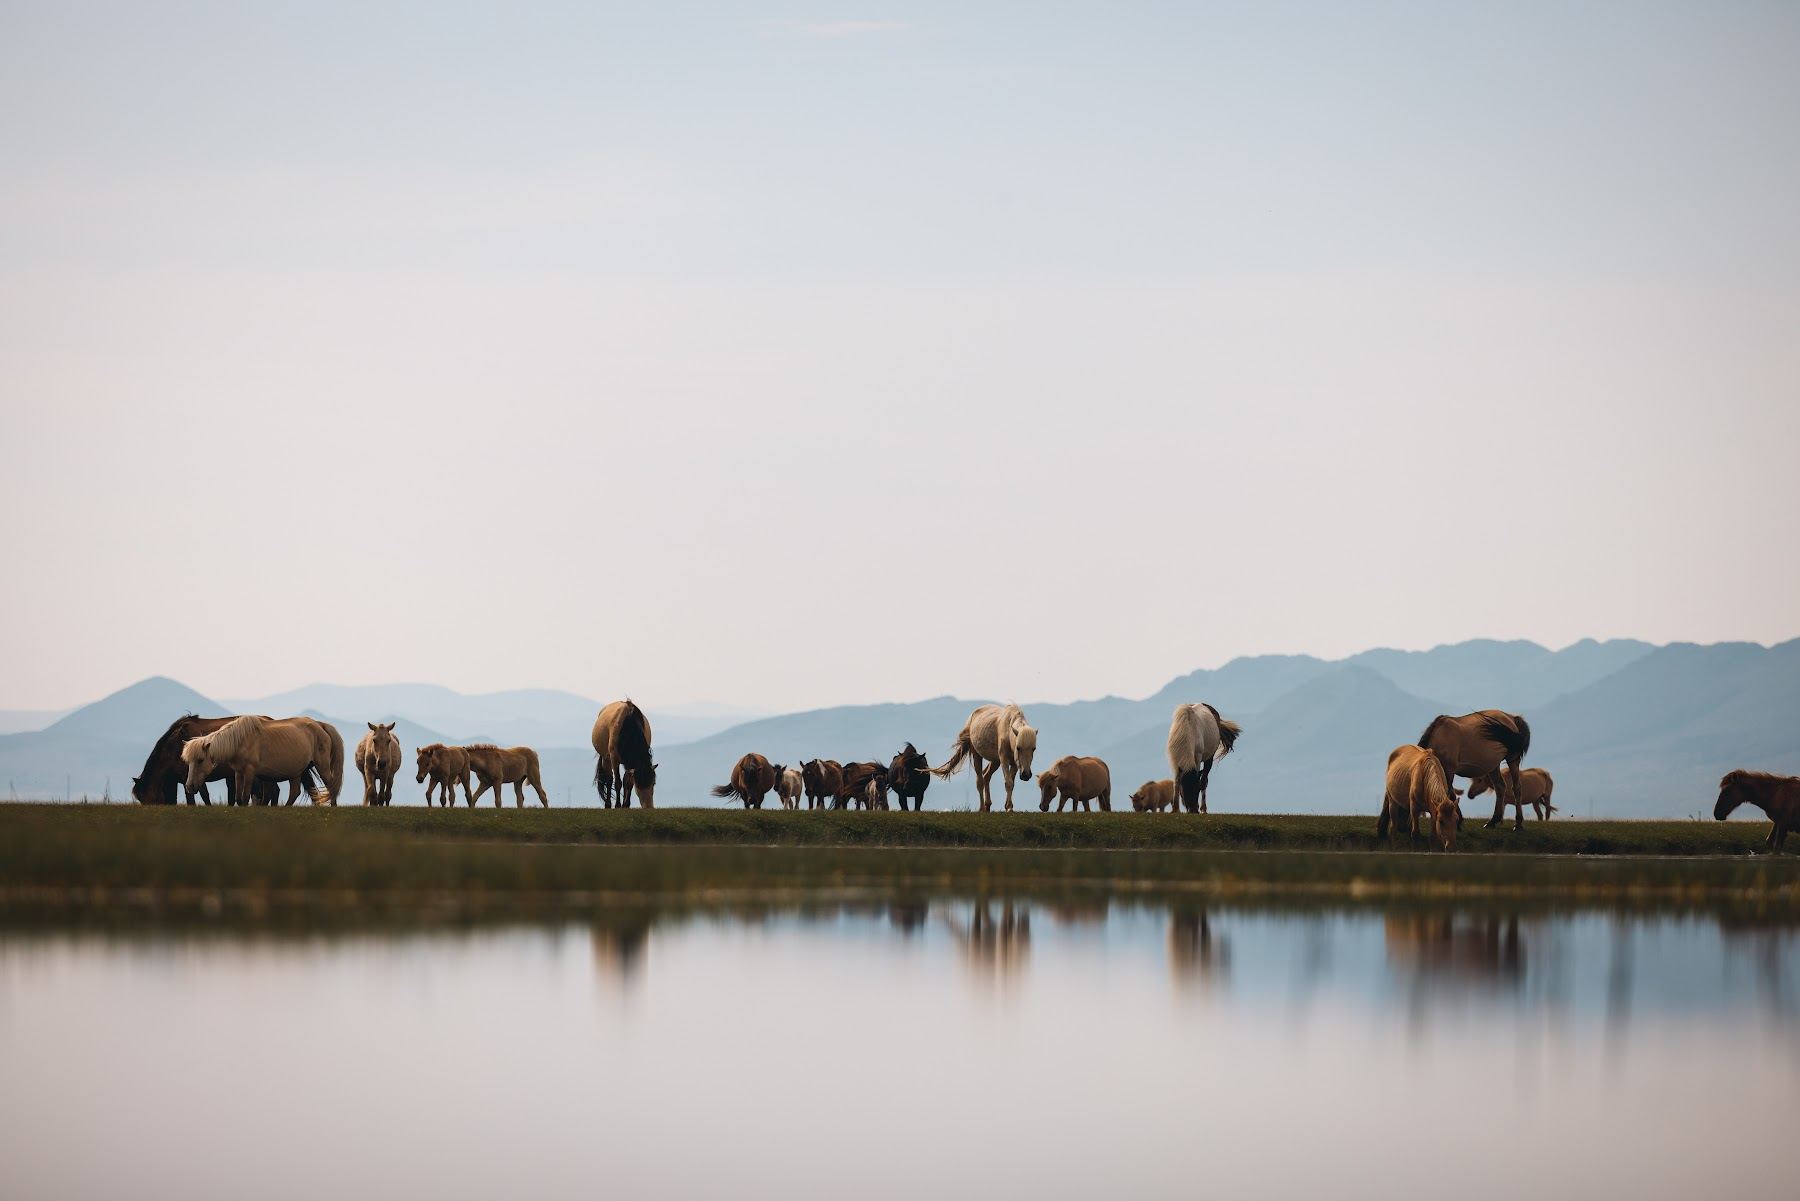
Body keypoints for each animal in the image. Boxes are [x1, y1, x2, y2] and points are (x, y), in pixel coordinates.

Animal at [182, 715, 343, 807]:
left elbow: (245, 796)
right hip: (297, 771)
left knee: (331, 785)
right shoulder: (238, 773)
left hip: (322, 766)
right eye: (188, 762)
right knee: (295, 792)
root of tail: (320, 725)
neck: (240, 741)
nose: (189, 786)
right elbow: (239, 798)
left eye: (200, 760)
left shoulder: (250, 772)